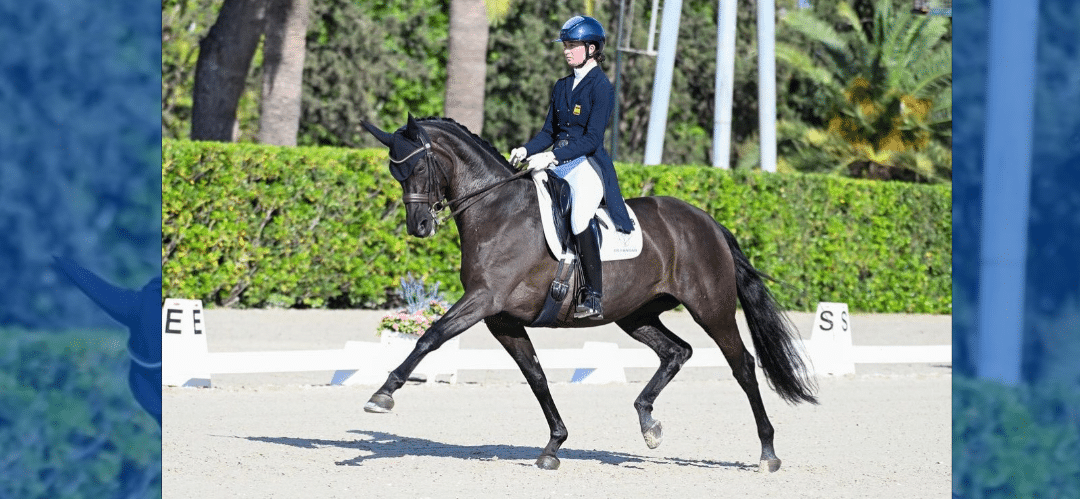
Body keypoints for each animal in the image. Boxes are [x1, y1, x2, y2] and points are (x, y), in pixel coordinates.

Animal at [358, 113, 812, 470]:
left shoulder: (483, 300)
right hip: (635, 314)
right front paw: (554, 445)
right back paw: (648, 423)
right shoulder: (501, 319)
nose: (419, 226)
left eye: (419, 168)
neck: (498, 211)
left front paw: (383, 394)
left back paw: (768, 452)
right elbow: (536, 375)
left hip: (711, 309)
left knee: (743, 366)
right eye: (396, 173)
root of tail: (708, 221)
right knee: (676, 352)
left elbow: (430, 336)